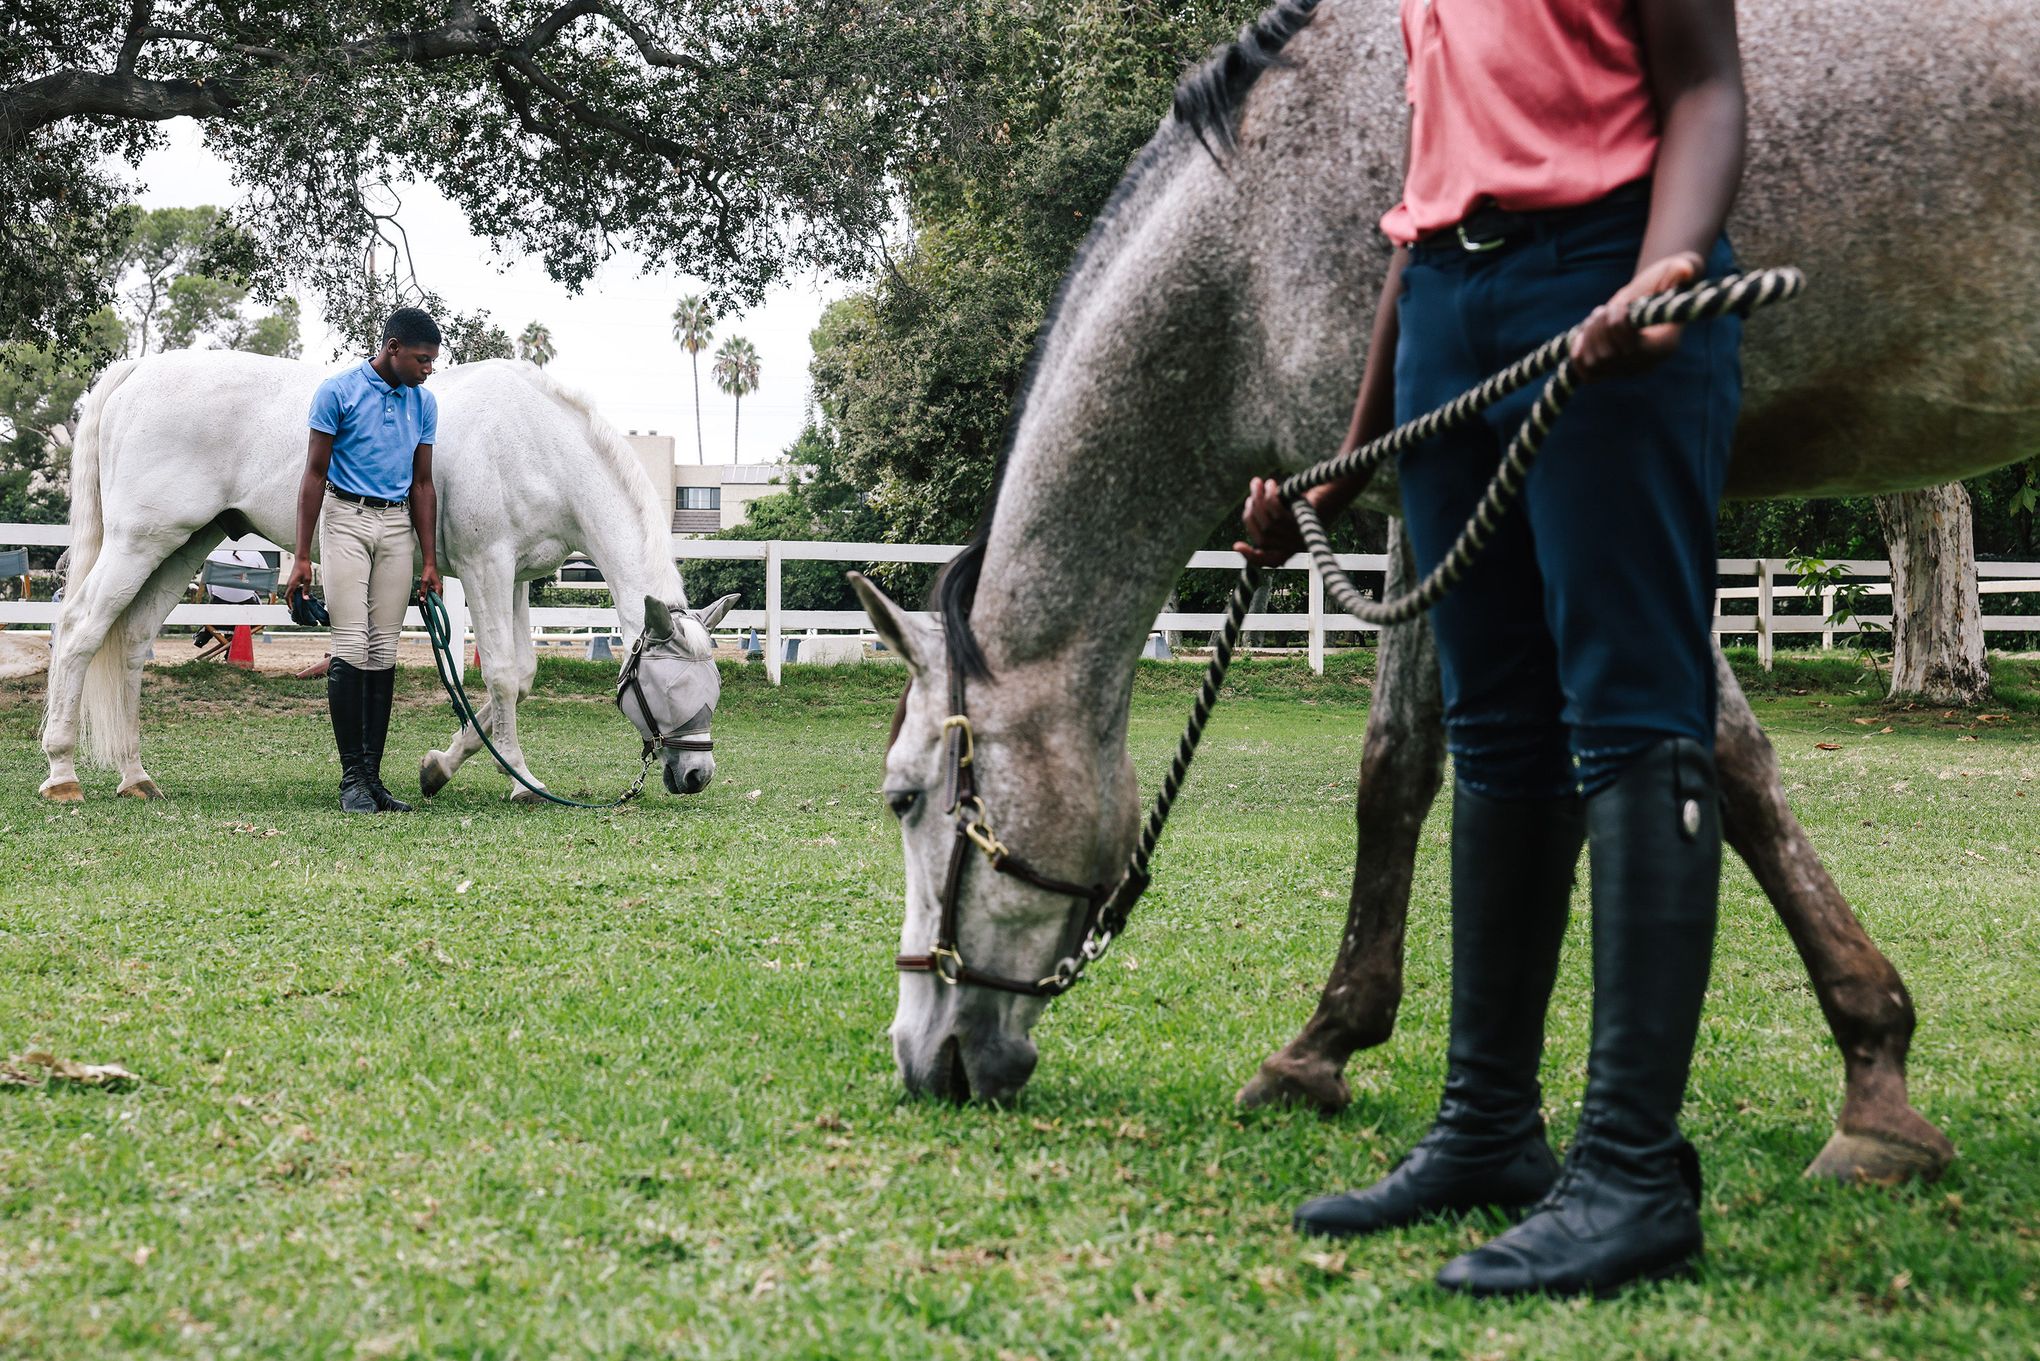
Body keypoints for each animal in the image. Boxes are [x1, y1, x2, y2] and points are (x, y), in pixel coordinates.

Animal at [39, 348, 738, 808]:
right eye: (669, 686)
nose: (695, 776)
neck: (534, 442)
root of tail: (137, 372)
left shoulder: (515, 578)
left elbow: (520, 676)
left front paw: (439, 767)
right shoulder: (486, 566)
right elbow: (502, 675)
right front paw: (521, 781)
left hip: (186, 545)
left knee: (130, 644)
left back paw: (134, 777)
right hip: (139, 541)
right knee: (79, 630)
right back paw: (62, 772)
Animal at [852, 0, 2031, 1183]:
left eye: (904, 797)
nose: (920, 1056)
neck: (1253, 244)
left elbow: (1724, 766)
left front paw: (1875, 1083)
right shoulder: (1431, 504)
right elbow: (1399, 766)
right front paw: (1324, 1045)